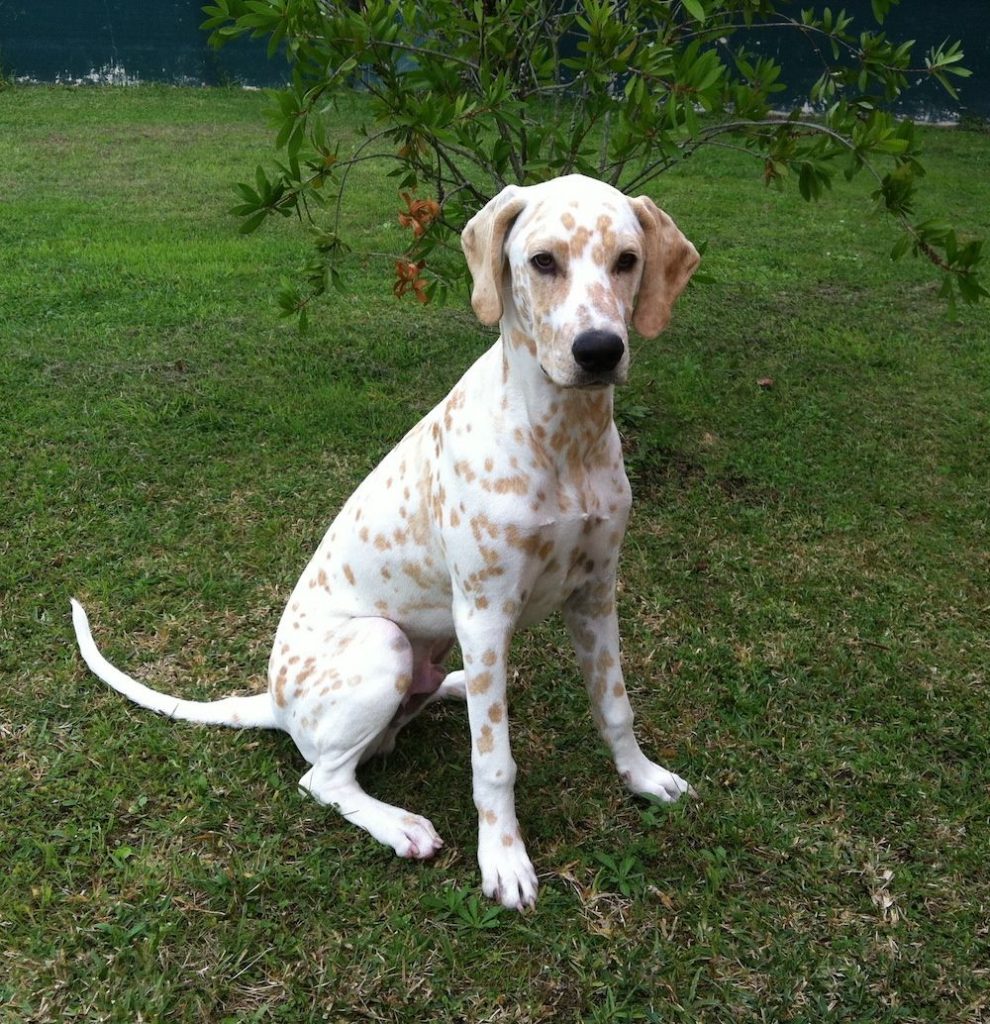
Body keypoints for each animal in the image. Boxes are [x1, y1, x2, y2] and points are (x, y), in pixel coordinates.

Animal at [69, 172, 700, 909]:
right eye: (543, 261)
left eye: (628, 261)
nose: (599, 351)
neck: (563, 438)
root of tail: (274, 702)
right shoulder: (484, 612)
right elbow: (494, 761)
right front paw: (503, 857)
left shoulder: (596, 592)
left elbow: (615, 707)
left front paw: (642, 777)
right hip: (383, 645)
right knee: (322, 778)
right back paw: (399, 824)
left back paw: (450, 688)